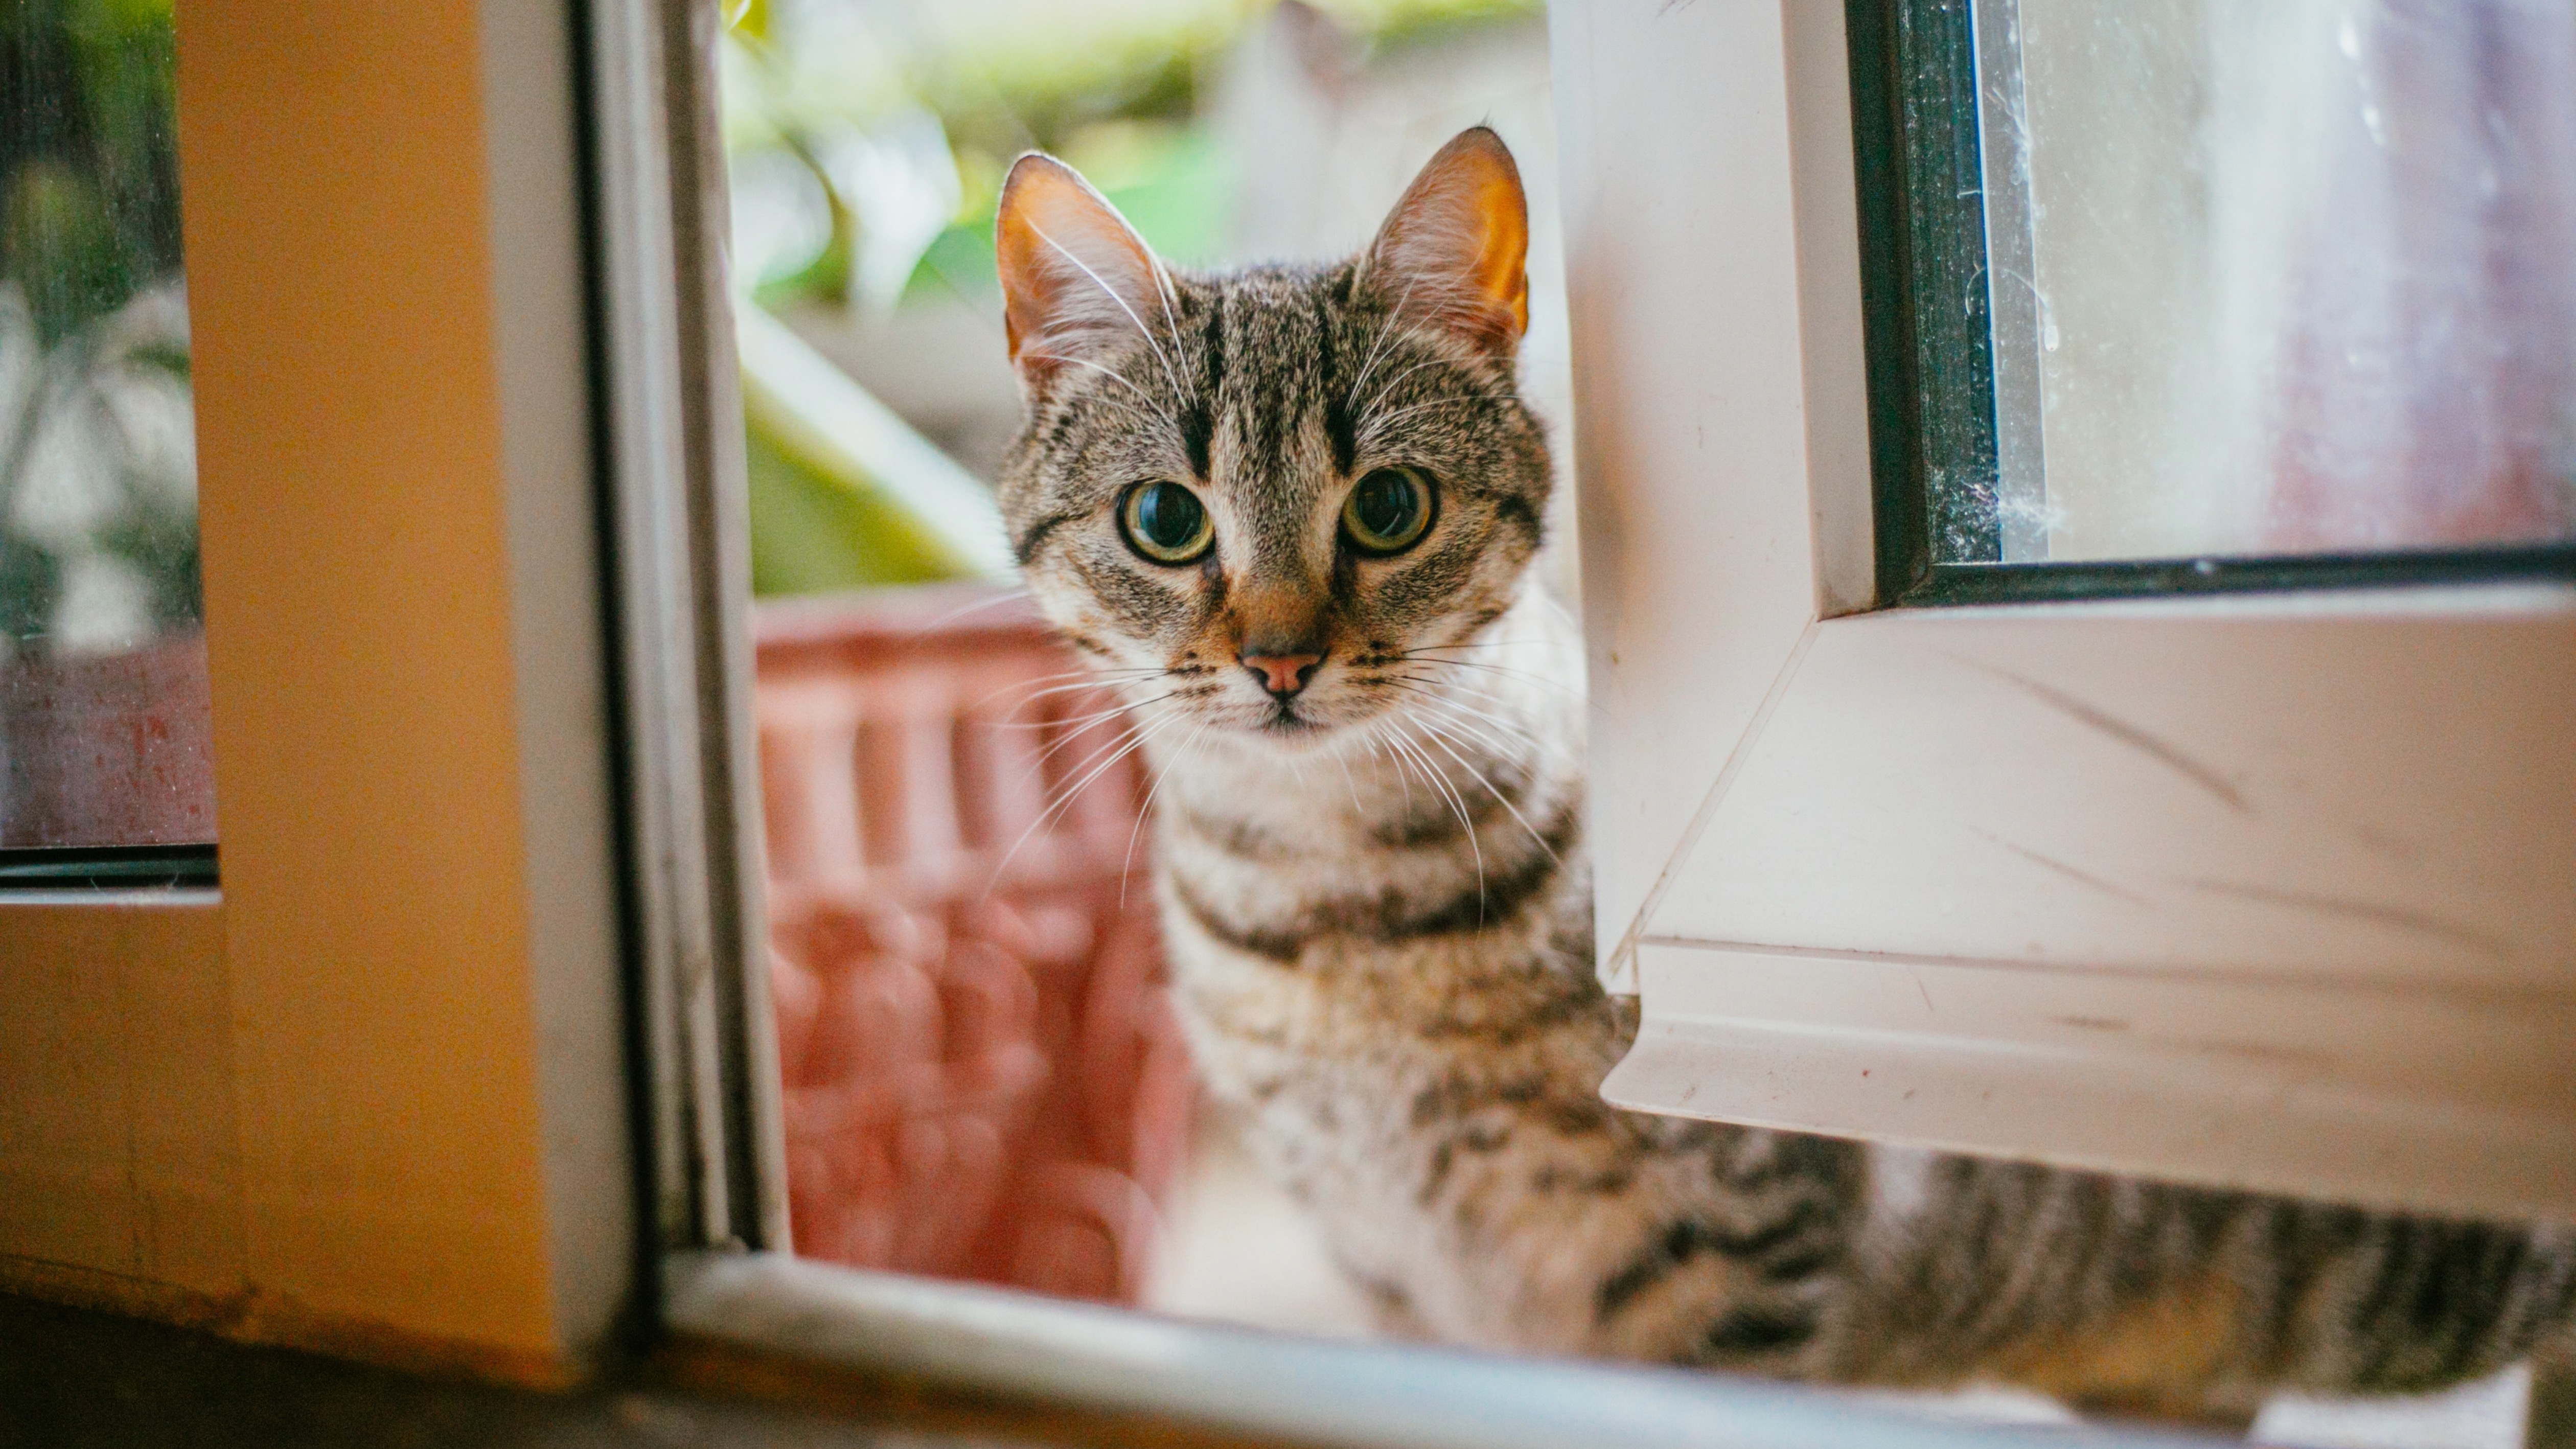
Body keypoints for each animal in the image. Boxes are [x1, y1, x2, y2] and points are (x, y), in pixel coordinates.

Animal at [984, 129, 2576, 1413]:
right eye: (1164, 522)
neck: (1337, 911)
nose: (1280, 660)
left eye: (1386, 507)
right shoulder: (1398, 1280)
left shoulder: (1725, 1260)